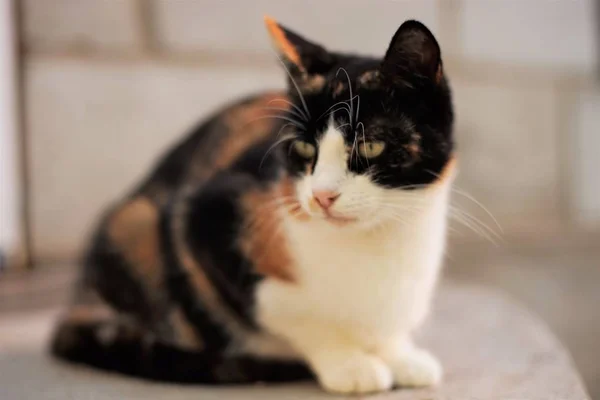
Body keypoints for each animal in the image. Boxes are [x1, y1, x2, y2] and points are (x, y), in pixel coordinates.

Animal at [51, 16, 454, 396]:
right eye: (304, 148)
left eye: (370, 145)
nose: (321, 196)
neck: (376, 241)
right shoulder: (208, 216)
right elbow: (291, 314)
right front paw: (349, 363)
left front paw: (399, 355)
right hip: (134, 221)